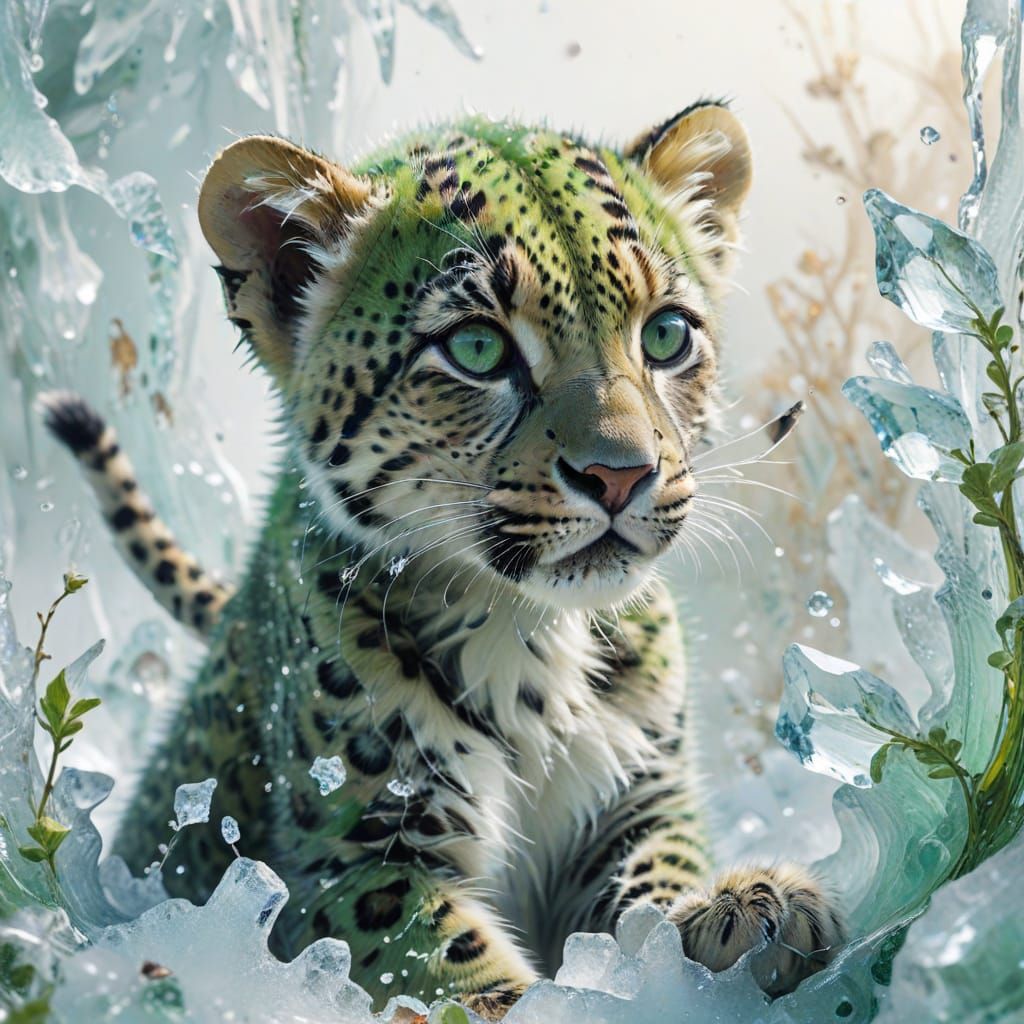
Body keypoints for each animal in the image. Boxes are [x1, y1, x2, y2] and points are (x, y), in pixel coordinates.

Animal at [43, 101, 844, 1018]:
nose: (622, 474)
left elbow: (654, 883)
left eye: (667, 335)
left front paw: (748, 910)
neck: (531, 637)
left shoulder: (637, 800)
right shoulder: (353, 862)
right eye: (477, 350)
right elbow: (449, 963)